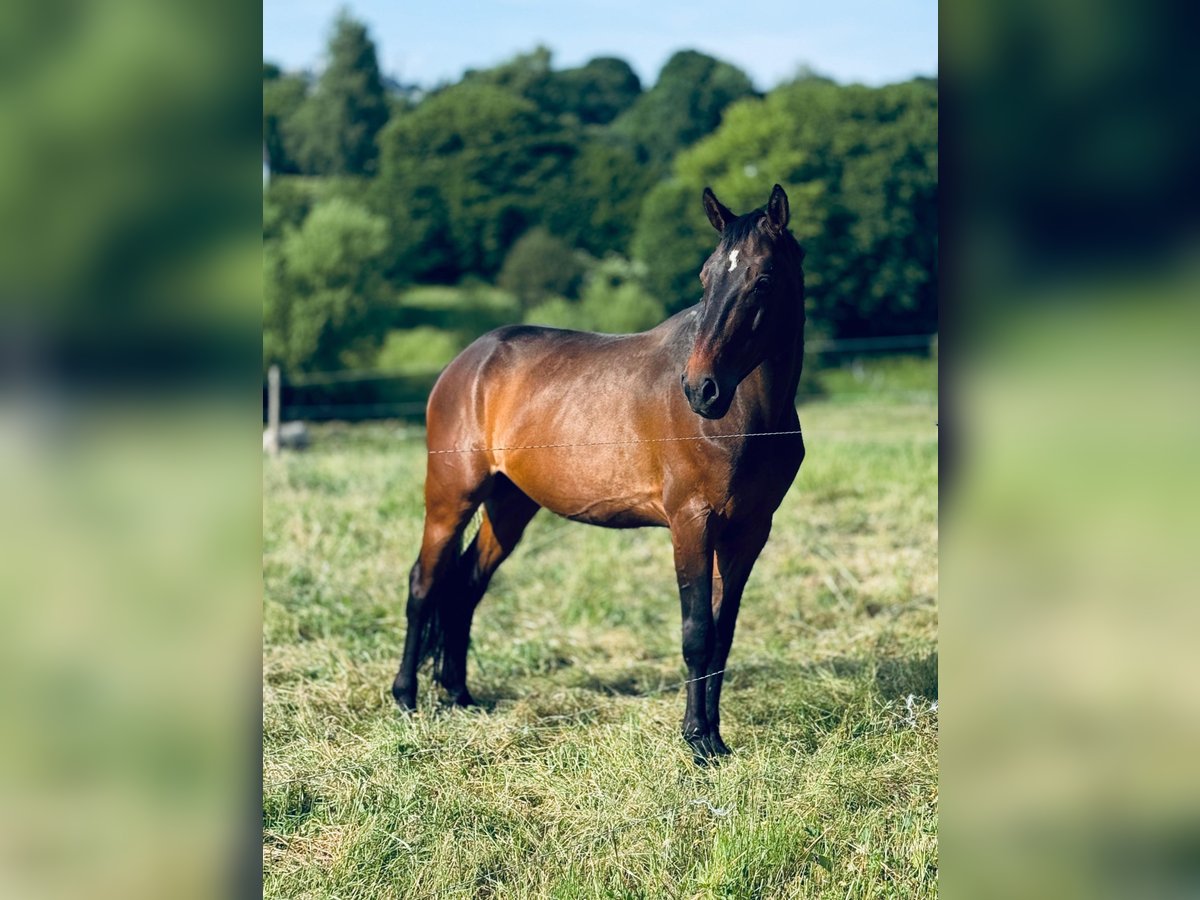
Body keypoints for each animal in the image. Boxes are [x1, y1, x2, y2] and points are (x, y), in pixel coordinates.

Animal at [391, 185, 806, 764]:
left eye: (763, 278)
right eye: (705, 276)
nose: (701, 389)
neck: (746, 418)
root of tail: (468, 361)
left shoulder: (749, 531)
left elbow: (723, 635)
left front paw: (715, 737)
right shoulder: (691, 524)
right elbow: (697, 632)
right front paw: (697, 740)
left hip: (510, 506)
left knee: (467, 584)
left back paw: (459, 695)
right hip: (451, 497)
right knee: (424, 583)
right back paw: (406, 697)